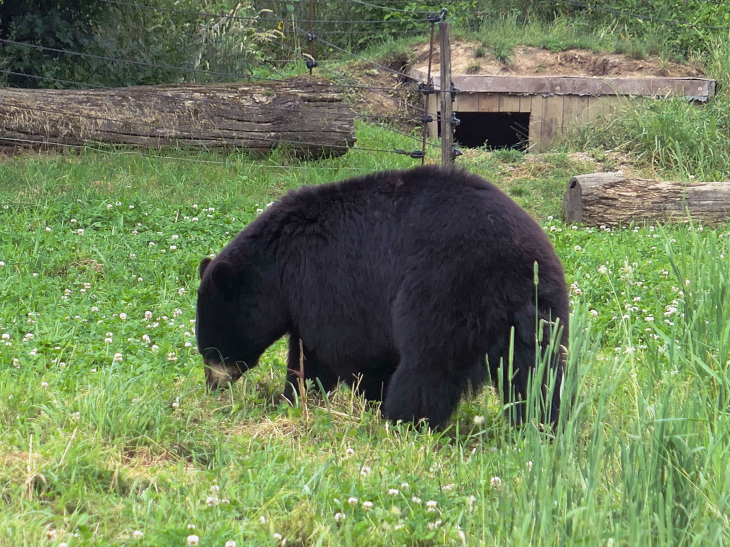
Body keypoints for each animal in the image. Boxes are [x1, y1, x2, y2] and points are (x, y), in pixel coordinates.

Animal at [195, 165, 568, 430]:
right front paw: (296, 397)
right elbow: (307, 352)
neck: (281, 264)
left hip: (447, 292)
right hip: (540, 313)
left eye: (210, 350)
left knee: (428, 366)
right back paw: (542, 424)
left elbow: (342, 349)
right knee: (539, 373)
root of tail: (517, 271)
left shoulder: (329, 277)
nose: (213, 386)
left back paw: (402, 420)